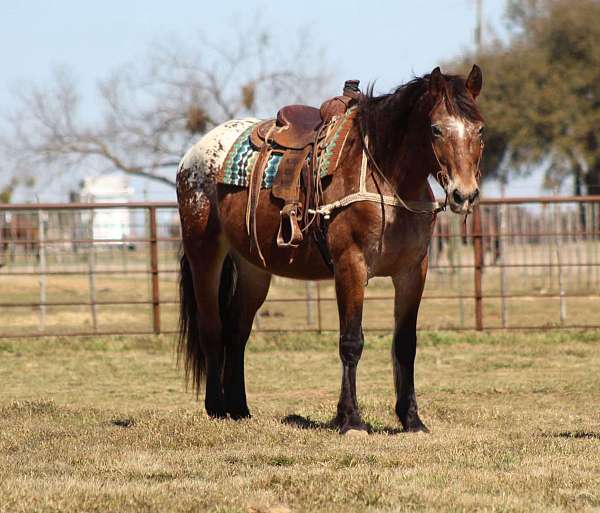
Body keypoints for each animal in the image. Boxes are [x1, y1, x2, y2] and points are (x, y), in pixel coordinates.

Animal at [176, 65, 486, 432]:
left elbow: (405, 344)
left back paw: (239, 408)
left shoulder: (413, 271)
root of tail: (192, 155)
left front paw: (412, 420)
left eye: (480, 129)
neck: (388, 180)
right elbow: (351, 342)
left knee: (237, 332)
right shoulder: (350, 265)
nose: (464, 194)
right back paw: (216, 407)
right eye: (436, 129)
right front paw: (351, 419)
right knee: (212, 328)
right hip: (204, 253)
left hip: (253, 268)